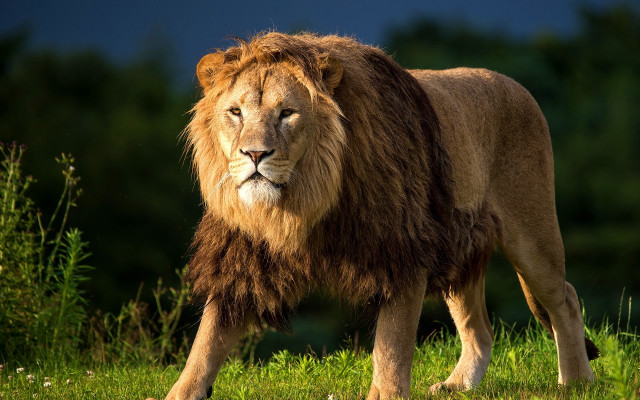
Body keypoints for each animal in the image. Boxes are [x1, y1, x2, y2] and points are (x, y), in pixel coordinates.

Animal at [158, 32, 599, 400]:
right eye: (235, 112)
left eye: (287, 113)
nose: (254, 154)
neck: (301, 202)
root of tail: (516, 85)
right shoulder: (241, 256)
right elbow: (206, 341)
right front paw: (180, 393)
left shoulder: (402, 251)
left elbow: (391, 347)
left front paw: (386, 394)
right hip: (458, 245)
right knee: (480, 329)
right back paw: (458, 386)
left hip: (531, 234)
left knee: (565, 299)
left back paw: (576, 382)